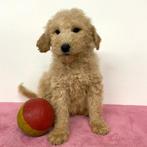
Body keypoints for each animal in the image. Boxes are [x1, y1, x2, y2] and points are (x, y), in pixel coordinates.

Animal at [18, 8, 109, 145]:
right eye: (57, 32)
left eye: (76, 29)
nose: (64, 46)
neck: (73, 63)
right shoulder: (60, 89)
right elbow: (61, 112)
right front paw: (59, 132)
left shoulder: (94, 85)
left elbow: (95, 107)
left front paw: (98, 124)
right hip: (44, 81)